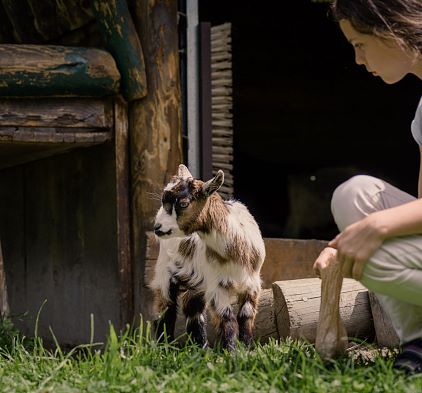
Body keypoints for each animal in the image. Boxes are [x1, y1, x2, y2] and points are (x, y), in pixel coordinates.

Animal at [150, 163, 266, 350]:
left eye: (183, 203)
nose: (157, 227)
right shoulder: (218, 286)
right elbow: (228, 319)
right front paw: (232, 352)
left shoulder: (252, 285)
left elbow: (245, 317)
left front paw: (247, 349)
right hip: (164, 272)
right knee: (165, 308)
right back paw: (165, 347)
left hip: (196, 283)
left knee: (193, 310)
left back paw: (200, 348)